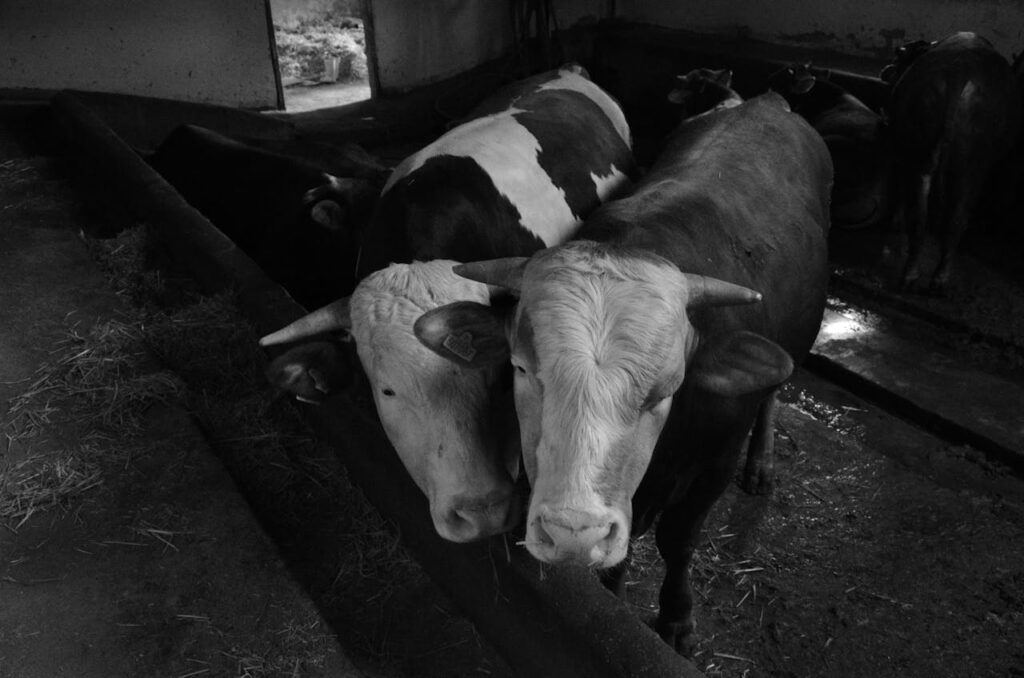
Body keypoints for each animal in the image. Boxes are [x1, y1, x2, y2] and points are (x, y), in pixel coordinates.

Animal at [414, 92, 831, 653]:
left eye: (667, 389)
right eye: (521, 368)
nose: (574, 533)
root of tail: (765, 100)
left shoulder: (713, 464)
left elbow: (678, 542)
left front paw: (676, 617)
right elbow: (622, 556)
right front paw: (614, 595)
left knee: (771, 393)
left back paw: (762, 462)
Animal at [880, 32, 1022, 292]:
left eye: (899, 55)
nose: (887, 69)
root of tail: (960, 70)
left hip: (927, 154)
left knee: (927, 217)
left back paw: (916, 277)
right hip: (966, 163)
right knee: (951, 217)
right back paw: (937, 279)